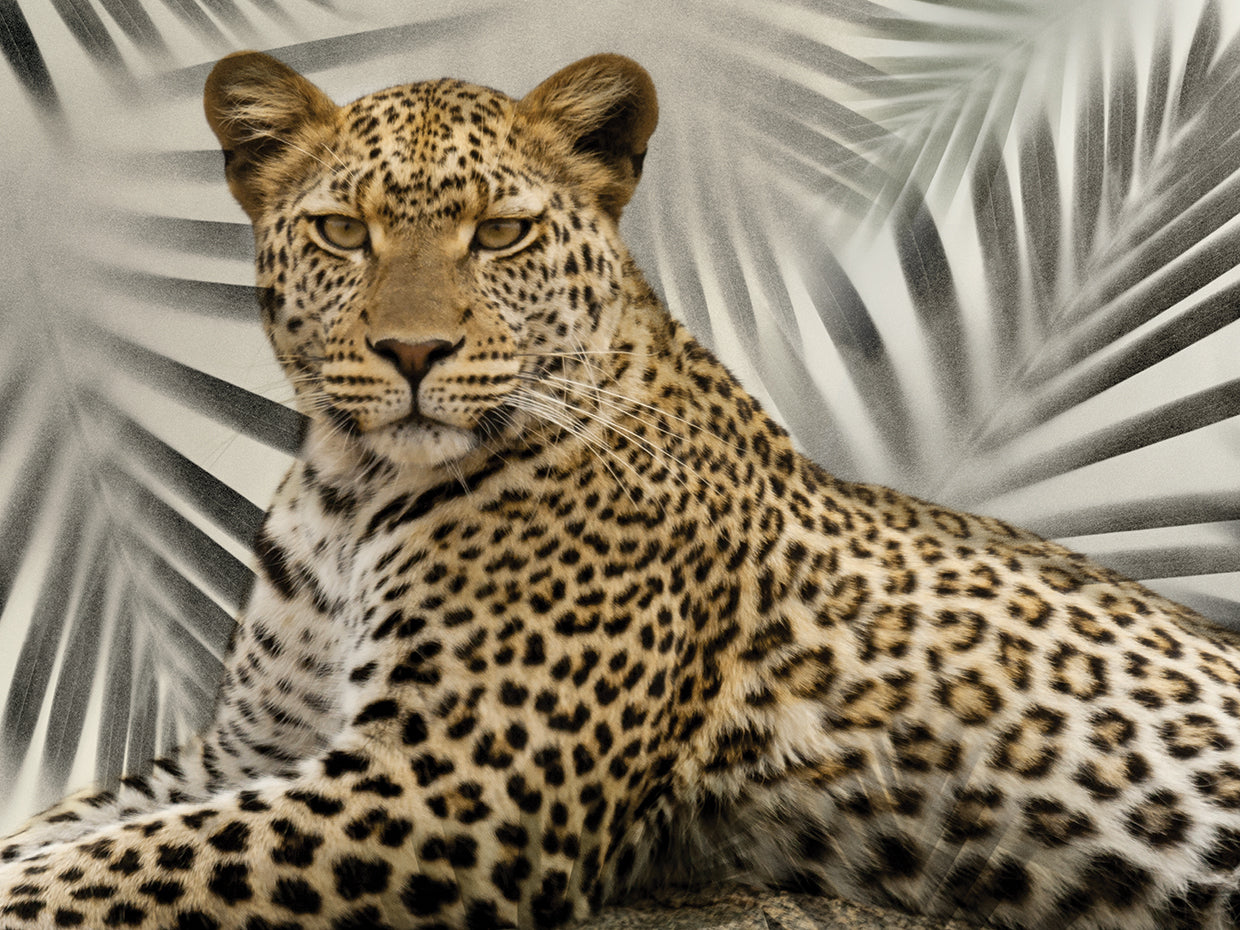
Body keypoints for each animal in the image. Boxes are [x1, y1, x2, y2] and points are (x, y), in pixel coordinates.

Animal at [3, 48, 1240, 930]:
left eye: (501, 232)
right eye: (343, 232)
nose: (413, 352)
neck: (353, 489)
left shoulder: (455, 783)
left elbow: (109, 870)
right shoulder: (252, 751)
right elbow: (73, 830)